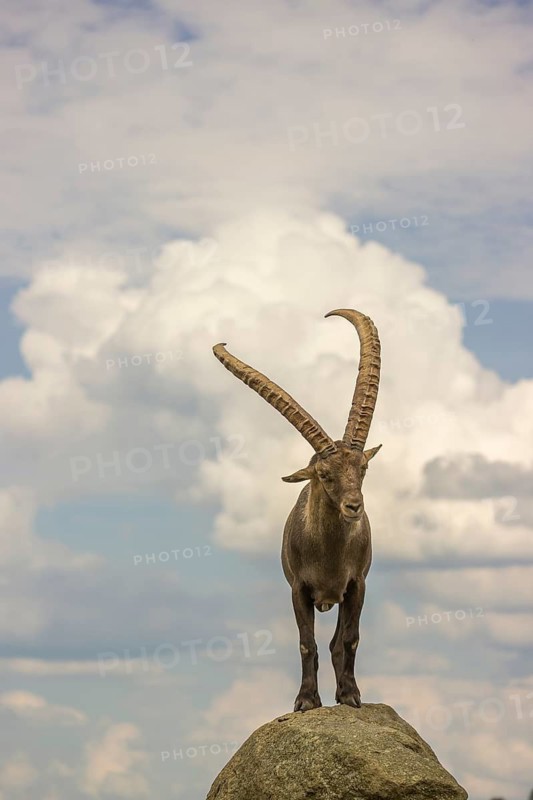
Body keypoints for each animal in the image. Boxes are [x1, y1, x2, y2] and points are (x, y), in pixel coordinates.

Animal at [213, 308, 381, 712]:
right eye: (324, 473)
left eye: (362, 468)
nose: (354, 506)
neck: (329, 555)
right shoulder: (298, 589)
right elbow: (307, 643)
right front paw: (306, 701)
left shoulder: (357, 585)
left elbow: (350, 639)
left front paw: (350, 695)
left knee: (337, 643)